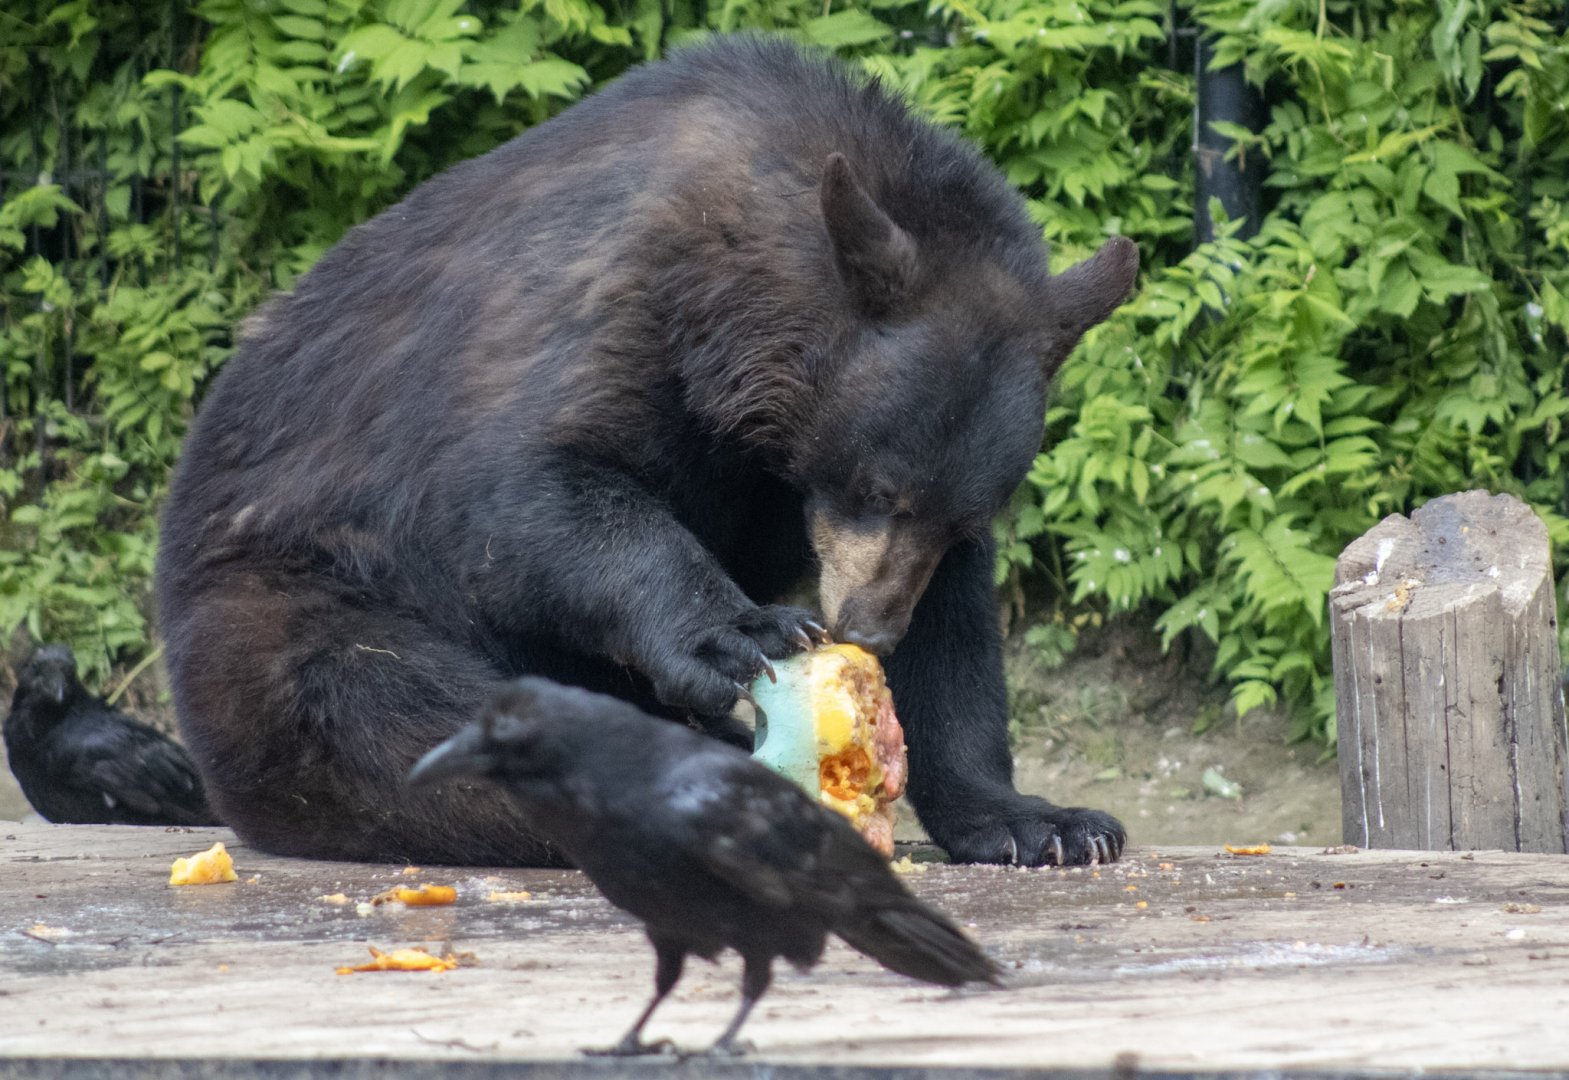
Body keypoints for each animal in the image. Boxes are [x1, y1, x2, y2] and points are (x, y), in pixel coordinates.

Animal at [155, 35, 1138, 867]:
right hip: (285, 604)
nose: (867, 629)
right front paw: (741, 631)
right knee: (393, 704)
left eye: (962, 514)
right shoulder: (616, 304)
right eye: (875, 486)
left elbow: (954, 630)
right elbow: (528, 493)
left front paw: (1040, 821)